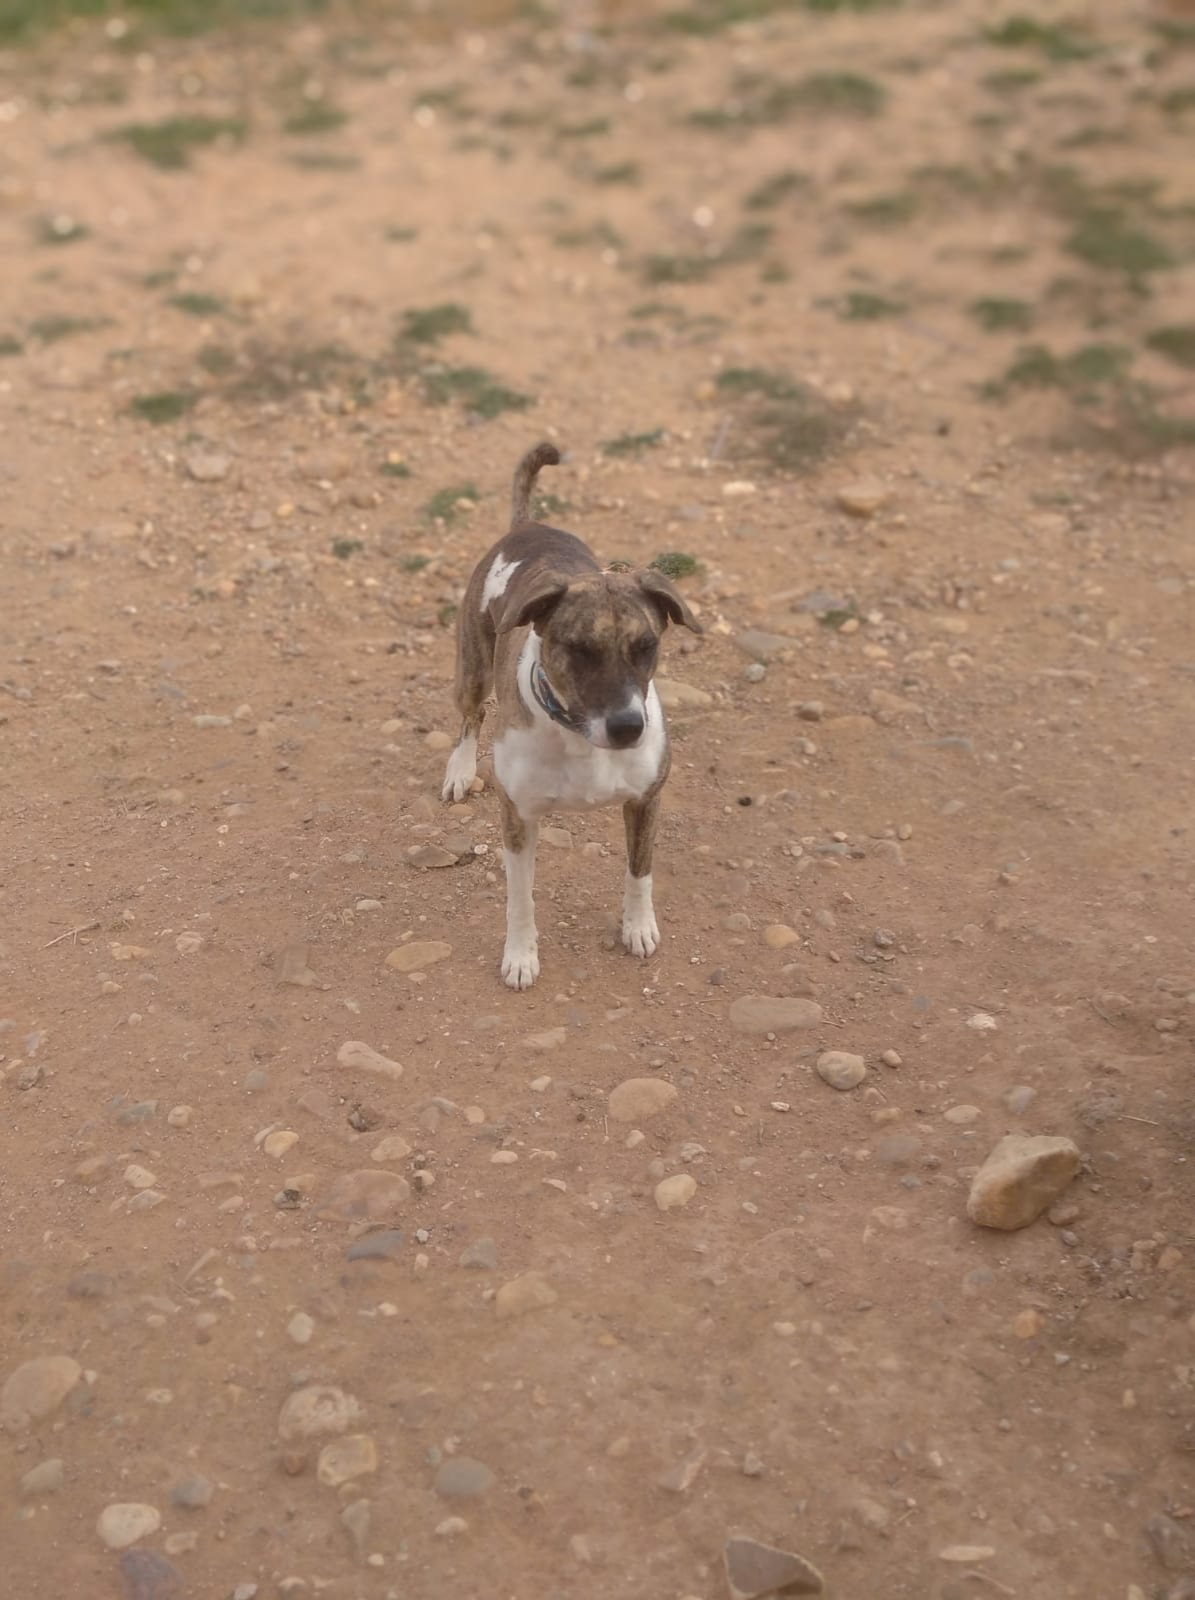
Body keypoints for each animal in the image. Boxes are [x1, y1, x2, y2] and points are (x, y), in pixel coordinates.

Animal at [441, 442, 701, 989]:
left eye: (646, 646)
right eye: (579, 650)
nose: (628, 728)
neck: (582, 739)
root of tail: (528, 526)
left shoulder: (645, 801)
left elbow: (639, 872)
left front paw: (637, 927)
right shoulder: (518, 817)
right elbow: (520, 899)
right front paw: (520, 956)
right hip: (472, 669)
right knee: (470, 717)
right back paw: (459, 769)